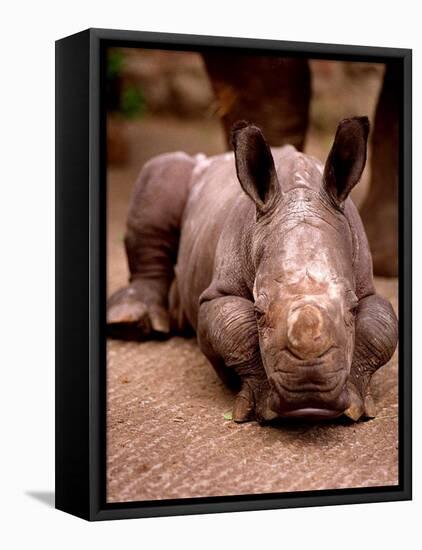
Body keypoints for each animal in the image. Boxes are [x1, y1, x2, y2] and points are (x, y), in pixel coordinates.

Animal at [107, 118, 398, 424]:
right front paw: (262, 405)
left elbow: (379, 329)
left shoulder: (366, 285)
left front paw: (354, 404)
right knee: (163, 172)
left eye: (352, 309)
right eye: (258, 311)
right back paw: (130, 323)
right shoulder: (218, 293)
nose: (310, 402)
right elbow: (236, 331)